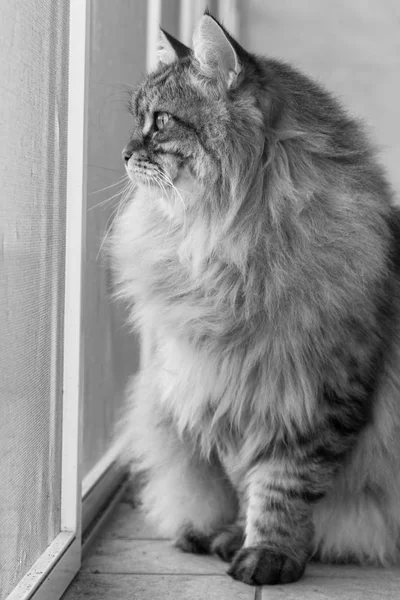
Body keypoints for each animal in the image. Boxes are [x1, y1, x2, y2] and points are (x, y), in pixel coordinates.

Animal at [108, 12, 400, 584]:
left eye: (160, 121)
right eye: (137, 119)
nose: (125, 153)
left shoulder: (319, 394)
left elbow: (282, 486)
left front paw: (269, 555)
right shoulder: (217, 387)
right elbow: (244, 482)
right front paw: (234, 539)